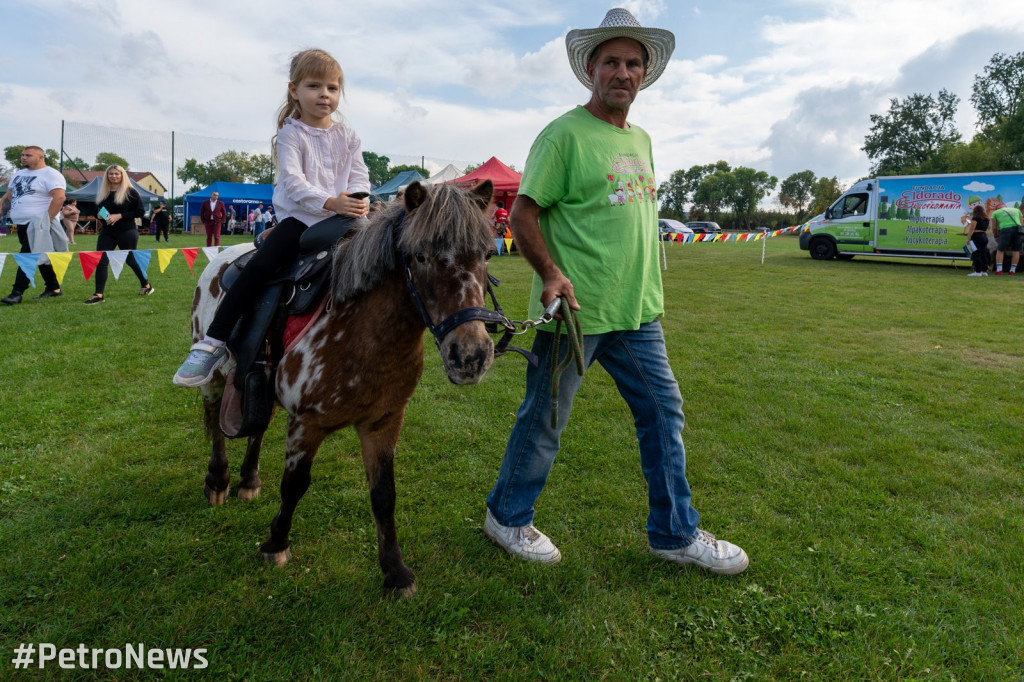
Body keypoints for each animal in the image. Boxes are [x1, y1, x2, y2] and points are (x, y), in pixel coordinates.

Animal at [192, 180, 499, 593]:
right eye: (420, 256)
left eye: (486, 254)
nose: (470, 355)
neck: (363, 330)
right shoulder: (306, 424)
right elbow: (294, 485)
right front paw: (276, 543)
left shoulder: (384, 422)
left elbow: (384, 495)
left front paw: (395, 571)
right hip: (214, 378)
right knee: (214, 422)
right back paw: (218, 479)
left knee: (257, 426)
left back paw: (249, 479)